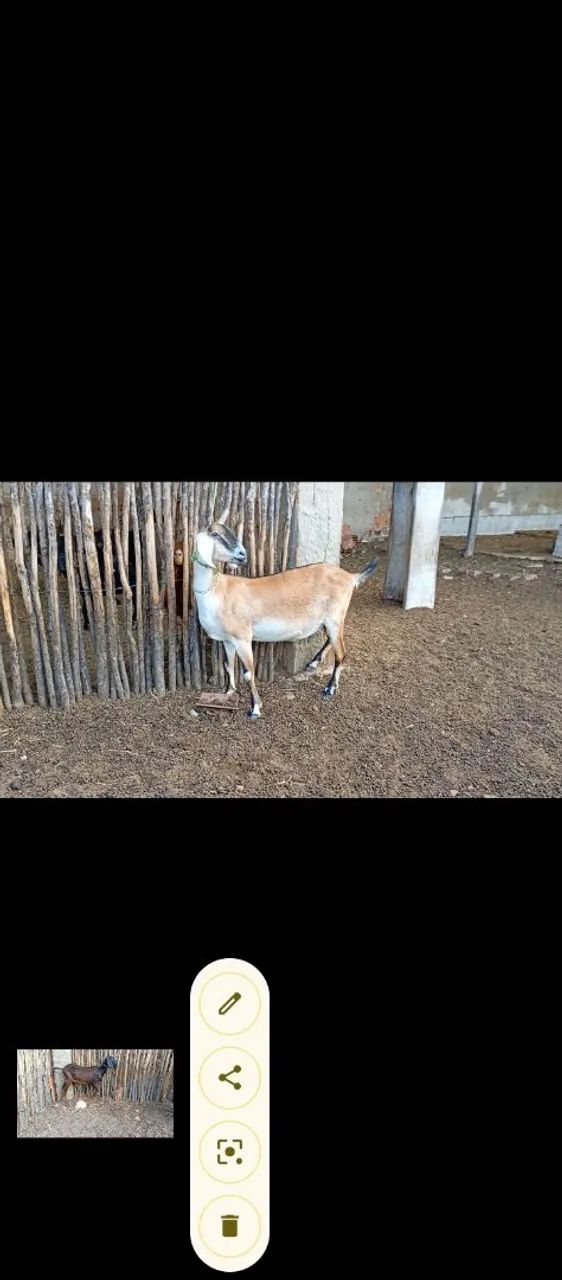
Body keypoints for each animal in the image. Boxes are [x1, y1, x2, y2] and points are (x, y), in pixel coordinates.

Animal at [192, 514, 379, 719]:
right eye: (216, 534)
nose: (242, 554)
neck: (218, 590)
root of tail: (351, 577)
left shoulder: (243, 638)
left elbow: (248, 673)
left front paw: (255, 709)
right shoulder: (227, 639)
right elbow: (228, 665)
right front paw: (229, 692)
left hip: (335, 615)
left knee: (341, 652)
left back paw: (330, 689)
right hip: (330, 619)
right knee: (332, 639)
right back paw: (313, 663)